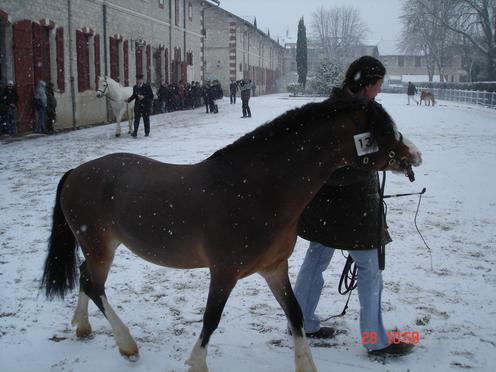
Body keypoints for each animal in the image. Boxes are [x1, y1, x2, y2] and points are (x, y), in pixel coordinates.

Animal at [42, 97, 422, 370]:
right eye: (385, 132)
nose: (414, 155)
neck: (257, 190)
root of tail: (76, 172)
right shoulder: (224, 272)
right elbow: (211, 319)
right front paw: (196, 364)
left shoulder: (274, 268)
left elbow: (295, 314)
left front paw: (306, 365)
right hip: (100, 246)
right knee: (94, 285)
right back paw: (127, 345)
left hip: (95, 248)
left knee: (85, 278)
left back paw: (82, 326)